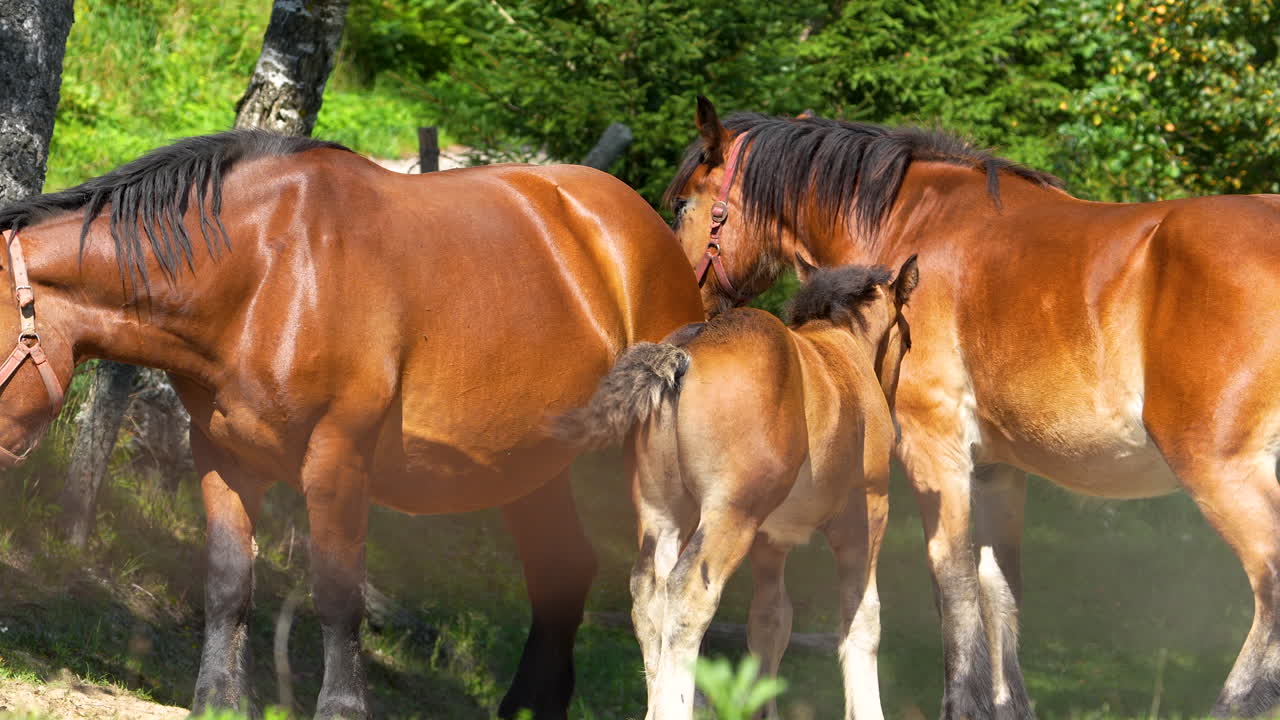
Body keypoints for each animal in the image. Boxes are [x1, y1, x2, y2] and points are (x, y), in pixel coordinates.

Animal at [0, 129, 704, 719]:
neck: (267, 275)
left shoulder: (336, 458)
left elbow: (338, 593)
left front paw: (342, 707)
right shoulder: (223, 458)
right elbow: (227, 583)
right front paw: (219, 701)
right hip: (533, 464)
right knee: (562, 572)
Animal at [554, 257, 918, 720]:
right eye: (907, 339)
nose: (895, 423)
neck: (841, 351)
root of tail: (684, 355)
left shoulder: (771, 539)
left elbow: (770, 620)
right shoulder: (866, 512)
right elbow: (862, 617)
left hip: (664, 517)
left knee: (648, 595)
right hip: (730, 517)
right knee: (688, 596)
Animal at [662, 97, 1280, 719]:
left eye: (684, 203)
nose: (691, 307)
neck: (915, 226)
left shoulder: (934, 448)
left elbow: (953, 583)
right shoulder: (996, 469)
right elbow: (998, 591)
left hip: (1219, 467)